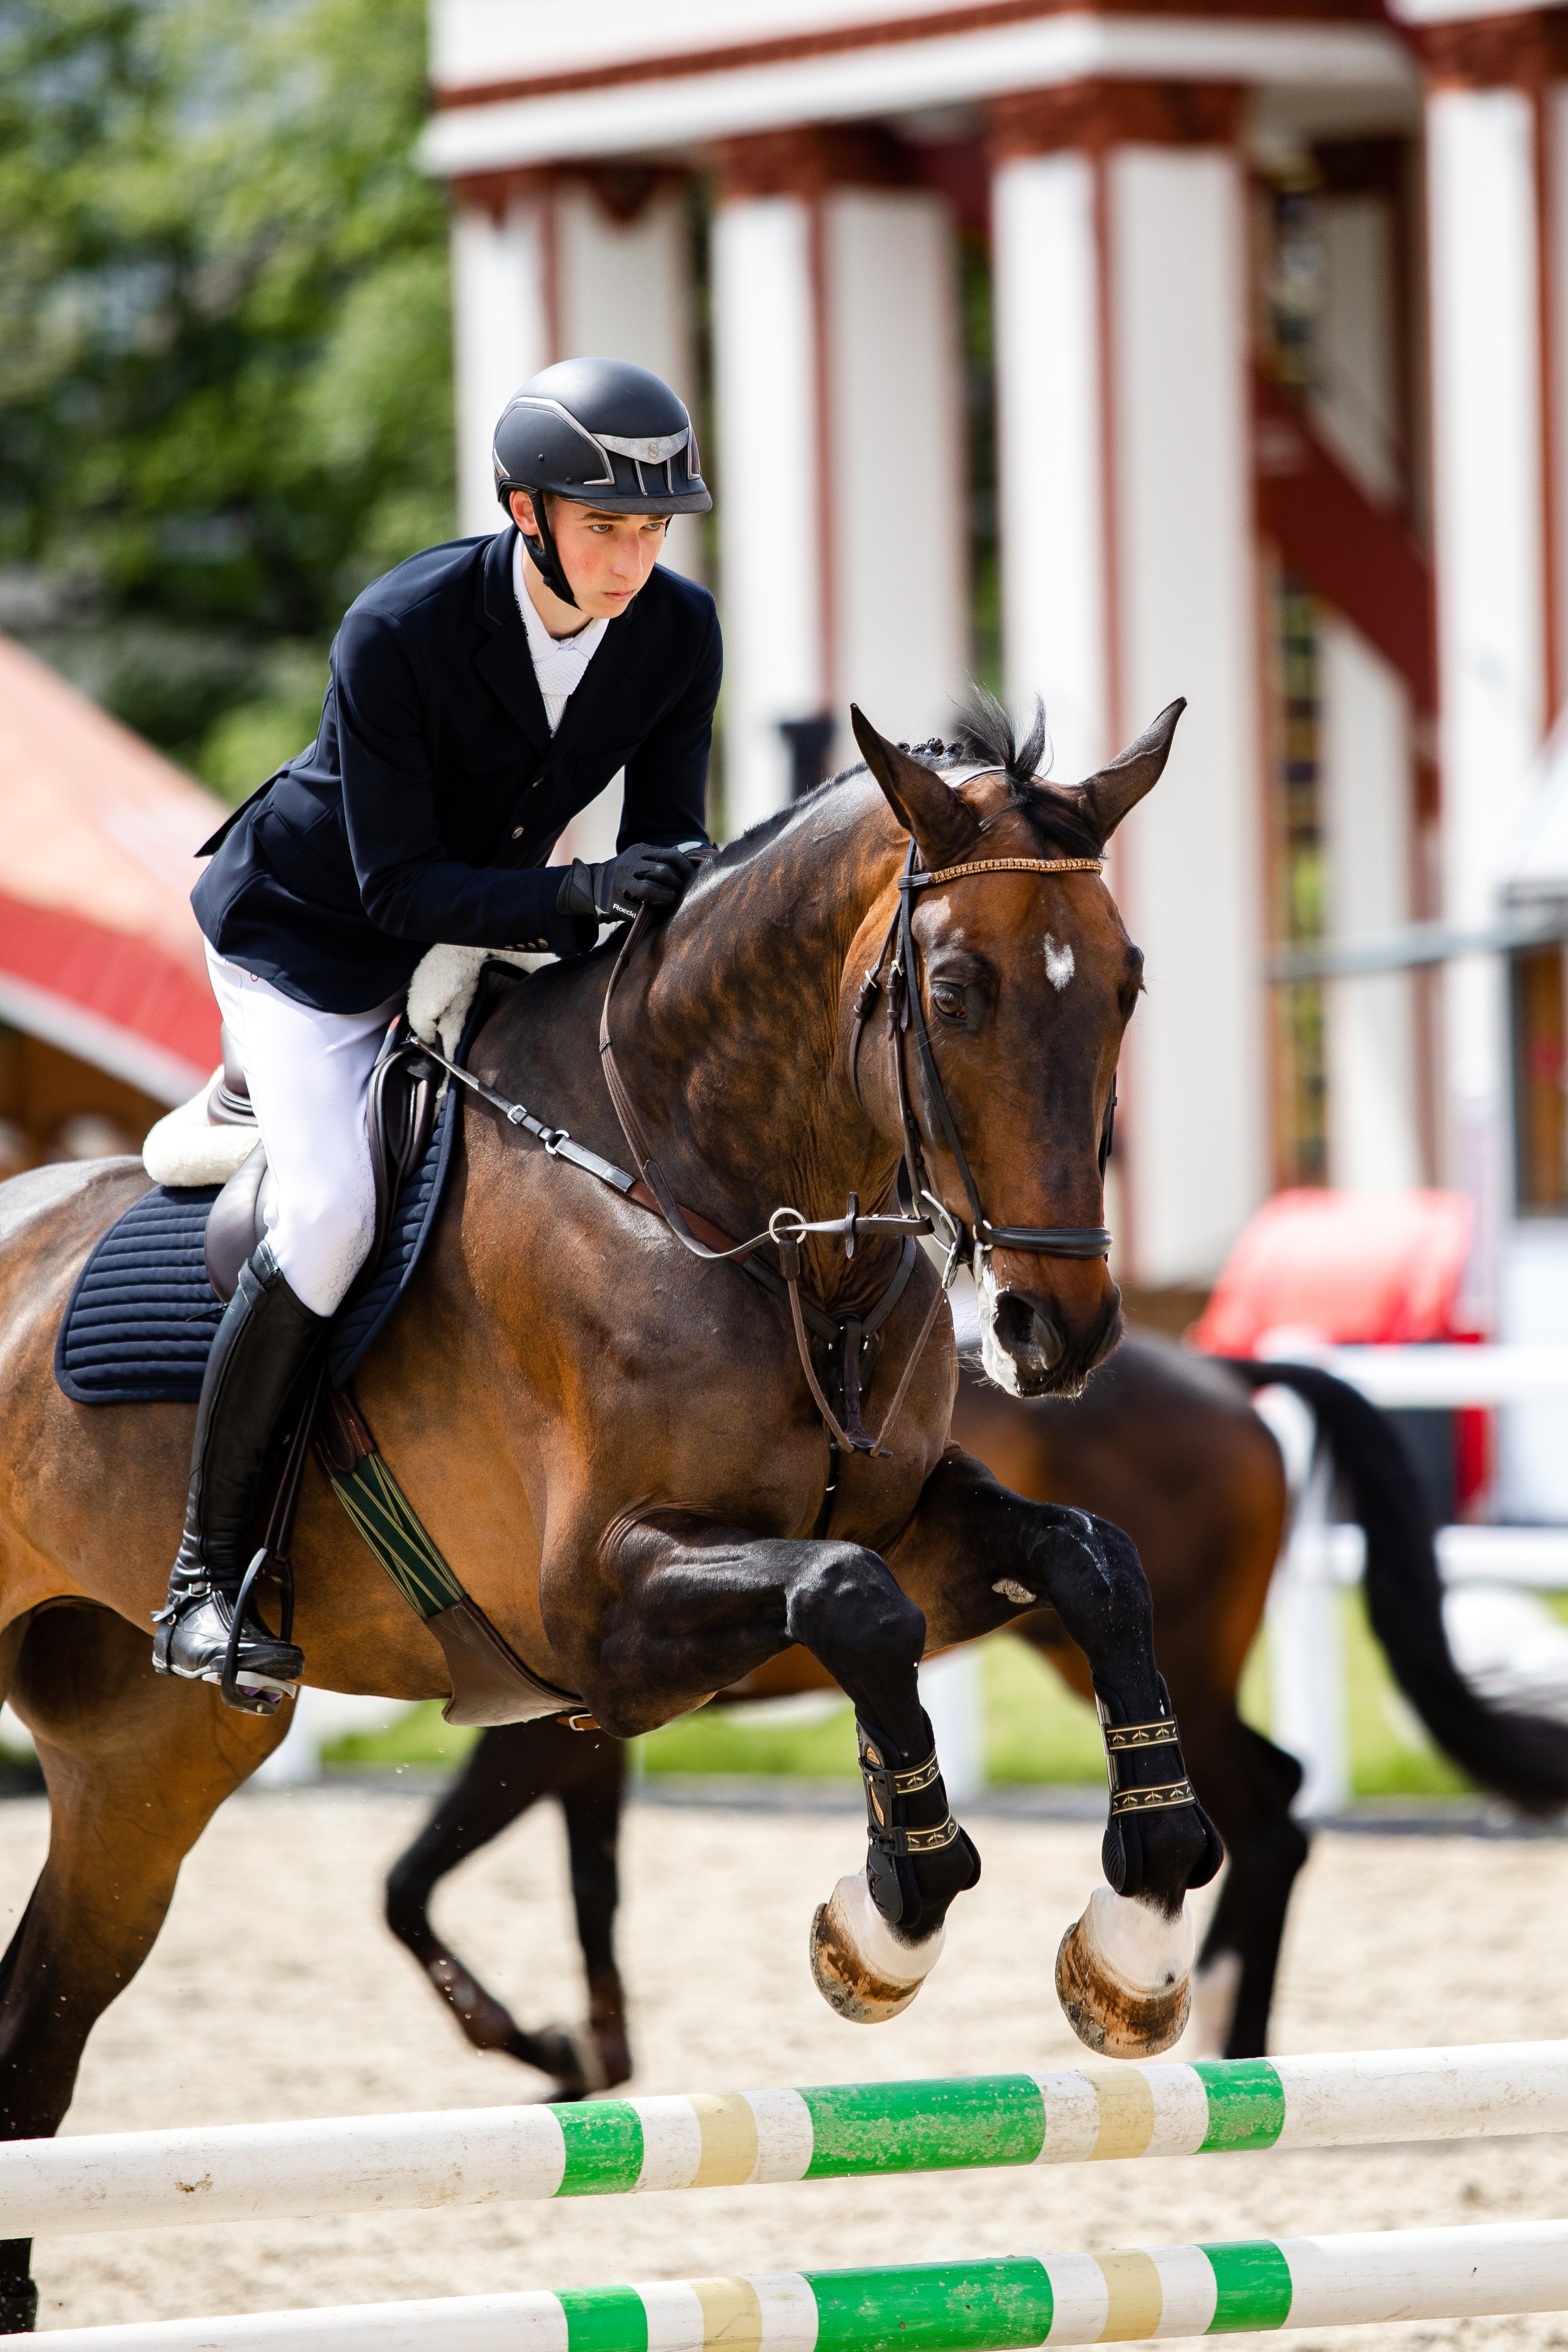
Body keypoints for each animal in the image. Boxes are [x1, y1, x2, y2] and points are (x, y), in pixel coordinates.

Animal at [0, 696, 1222, 2334]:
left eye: (1127, 983)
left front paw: (1137, 1929)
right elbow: (851, 1602)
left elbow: (1086, 1563)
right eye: (953, 991)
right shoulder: (604, 1612)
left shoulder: (905, 1523)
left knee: (37, 2043)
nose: (1057, 1331)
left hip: (144, 1771)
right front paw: (887, 1915)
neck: (743, 1214)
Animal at [386, 1342, 1568, 2093]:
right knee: (1272, 1800)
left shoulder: (546, 1725)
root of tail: (1226, 1373)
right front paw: (590, 2058)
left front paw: (541, 2047)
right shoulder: (583, 1731)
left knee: (1269, 1818)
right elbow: (591, 1889)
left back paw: (1227, 2036)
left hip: (1164, 1658)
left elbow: (406, 1891)